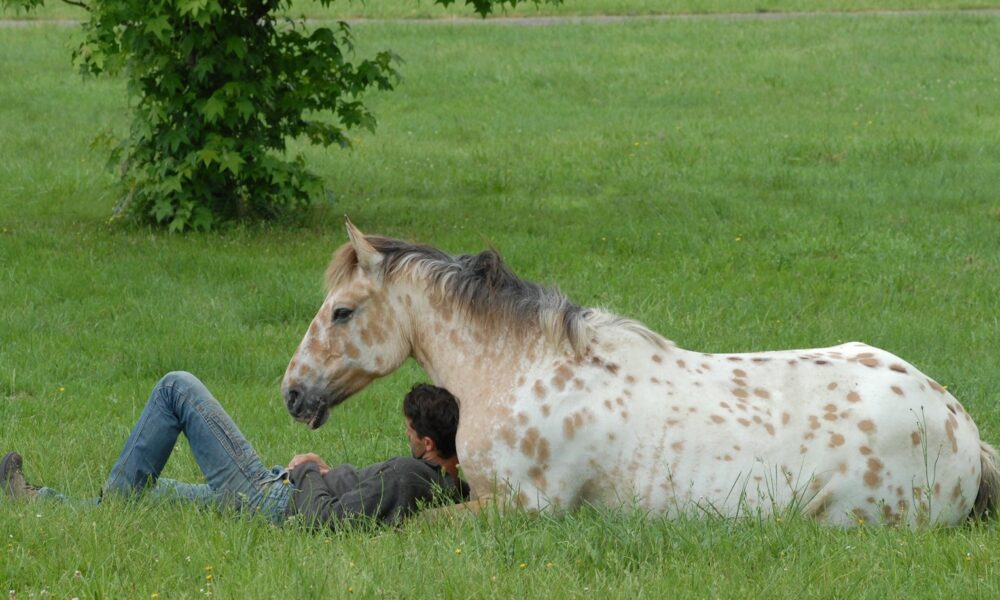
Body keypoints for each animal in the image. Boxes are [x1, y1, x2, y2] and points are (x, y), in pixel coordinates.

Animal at [282, 223, 1000, 528]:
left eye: (342, 311)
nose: (292, 392)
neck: (519, 369)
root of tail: (961, 425)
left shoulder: (524, 510)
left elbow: (409, 526)